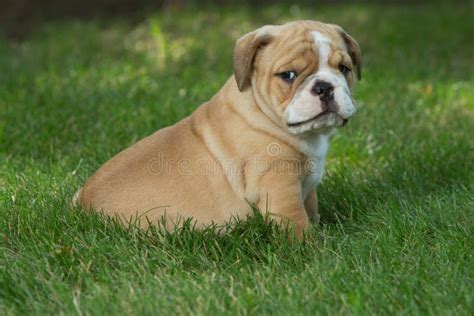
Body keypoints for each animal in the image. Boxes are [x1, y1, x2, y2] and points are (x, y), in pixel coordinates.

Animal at [76, 20, 362, 237]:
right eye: (288, 75)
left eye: (344, 68)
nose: (324, 87)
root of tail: (82, 204)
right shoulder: (279, 186)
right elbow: (297, 225)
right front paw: (312, 251)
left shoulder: (305, 188)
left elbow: (311, 209)